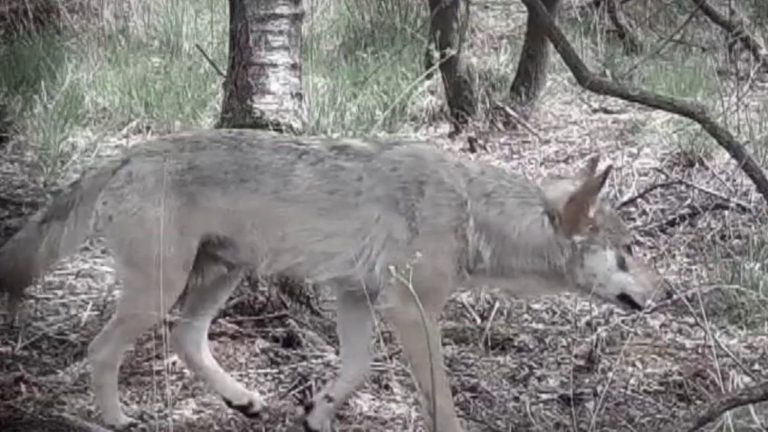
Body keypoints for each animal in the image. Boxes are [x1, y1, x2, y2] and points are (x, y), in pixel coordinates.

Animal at [0, 128, 660, 432]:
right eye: (630, 250)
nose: (664, 293)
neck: (472, 210)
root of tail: (126, 154)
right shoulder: (410, 308)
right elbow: (441, 401)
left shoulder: (355, 297)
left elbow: (356, 369)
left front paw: (318, 414)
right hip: (159, 289)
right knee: (102, 349)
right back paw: (117, 419)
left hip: (218, 278)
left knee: (187, 339)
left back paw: (242, 400)